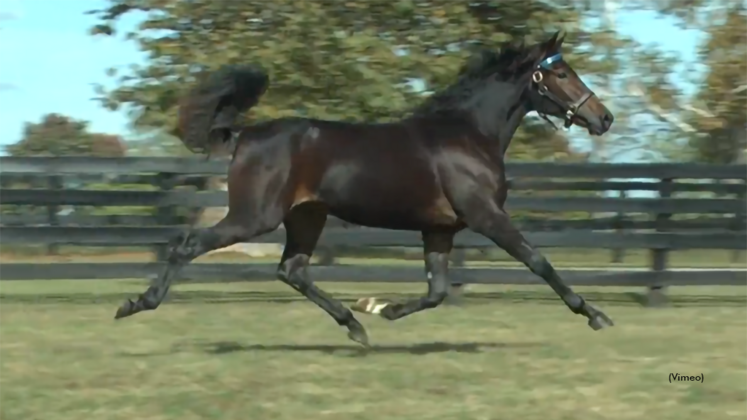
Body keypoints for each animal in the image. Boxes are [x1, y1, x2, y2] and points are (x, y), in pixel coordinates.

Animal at [115, 32, 612, 348]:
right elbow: (538, 261)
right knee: (188, 246)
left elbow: (437, 290)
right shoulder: (486, 215)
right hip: (253, 216)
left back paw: (356, 325)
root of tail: (244, 135)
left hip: (306, 216)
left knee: (292, 270)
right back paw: (135, 304)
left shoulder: (440, 230)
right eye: (561, 74)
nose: (603, 118)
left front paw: (383, 308)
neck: (468, 133)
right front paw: (596, 315)